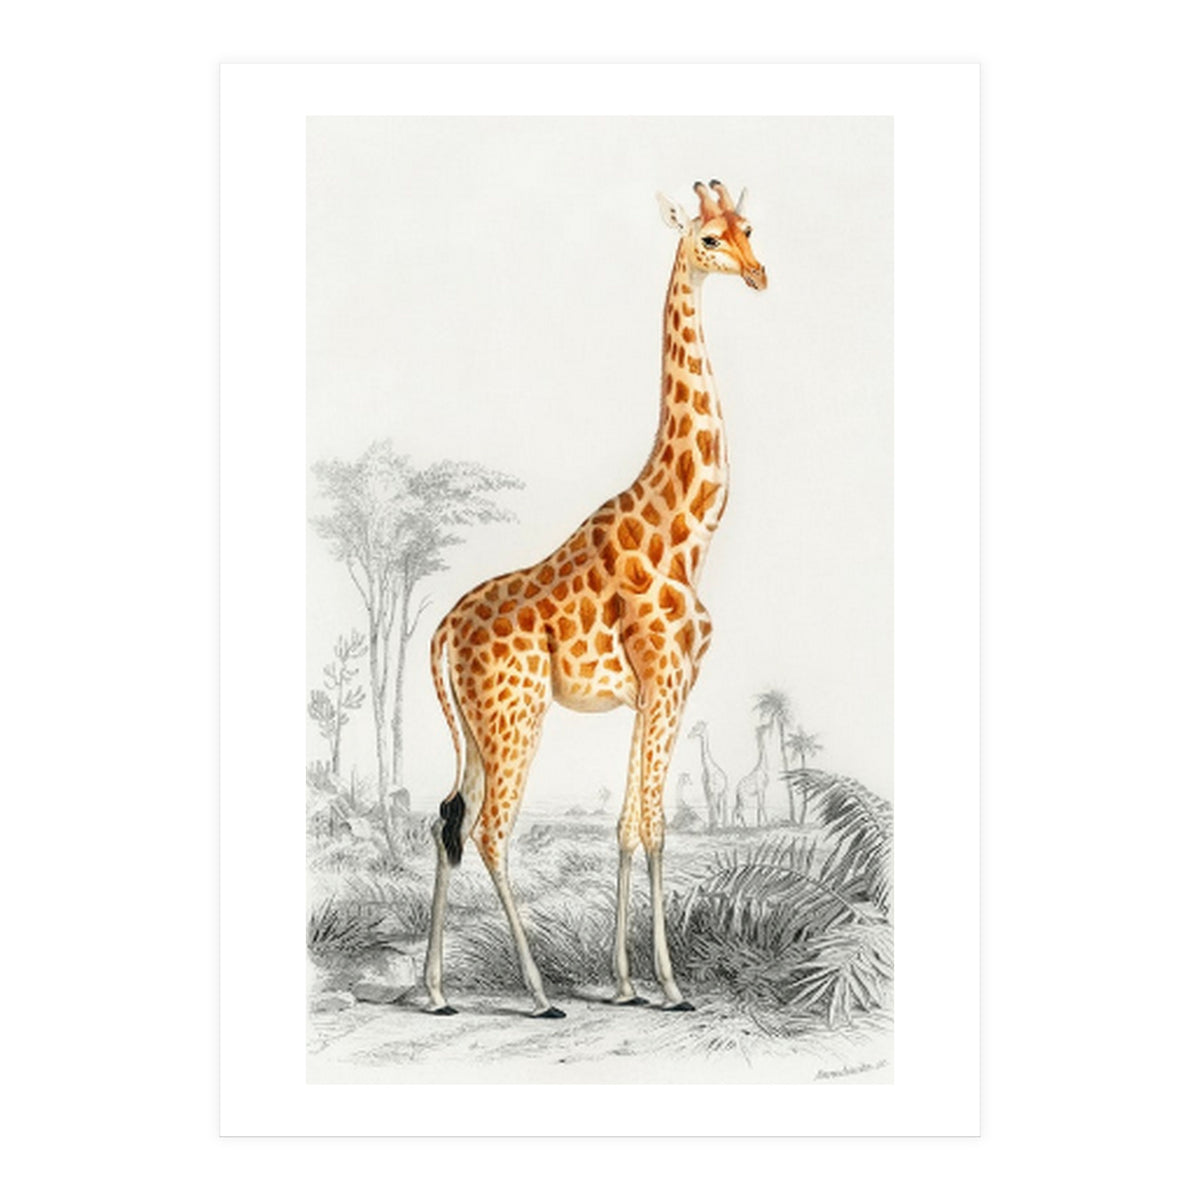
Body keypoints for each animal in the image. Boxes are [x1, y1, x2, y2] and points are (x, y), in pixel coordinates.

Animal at [424, 180, 767, 1017]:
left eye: (749, 228)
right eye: (708, 239)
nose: (758, 274)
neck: (687, 531)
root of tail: (441, 631)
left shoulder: (654, 693)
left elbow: (628, 824)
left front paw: (626, 982)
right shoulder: (667, 682)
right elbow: (656, 825)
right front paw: (670, 986)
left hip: (478, 727)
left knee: (446, 818)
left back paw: (436, 991)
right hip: (515, 716)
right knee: (489, 831)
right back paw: (540, 993)